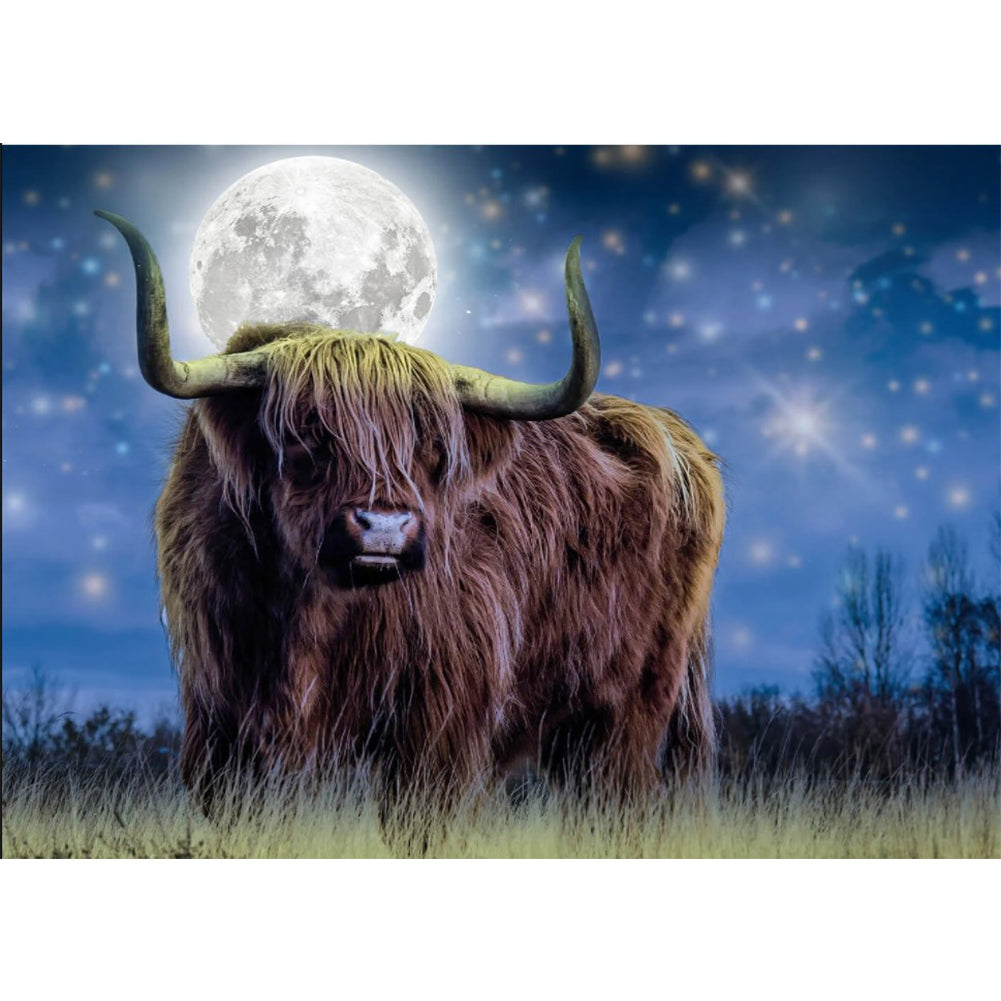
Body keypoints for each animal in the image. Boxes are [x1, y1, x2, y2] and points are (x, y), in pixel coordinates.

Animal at [98, 210, 725, 816]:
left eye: (431, 446)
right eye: (304, 435)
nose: (384, 528)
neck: (310, 611)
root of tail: (674, 434)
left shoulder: (442, 715)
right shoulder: (222, 713)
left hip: (629, 707)